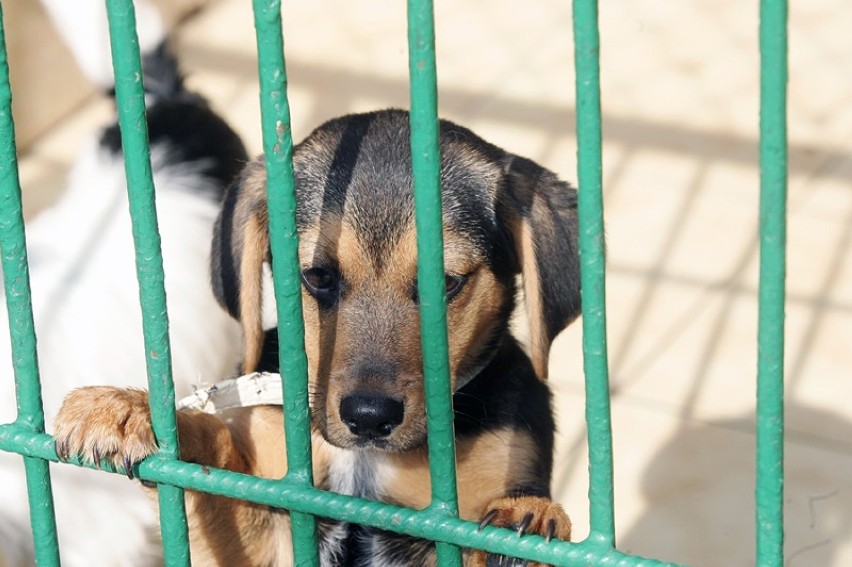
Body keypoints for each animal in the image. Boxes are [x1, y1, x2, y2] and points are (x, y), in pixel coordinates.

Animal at [53, 108, 584, 564]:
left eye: (446, 282)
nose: (369, 417)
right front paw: (128, 409)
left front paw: (526, 523)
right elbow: (213, 457)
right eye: (317, 277)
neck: (365, 463)